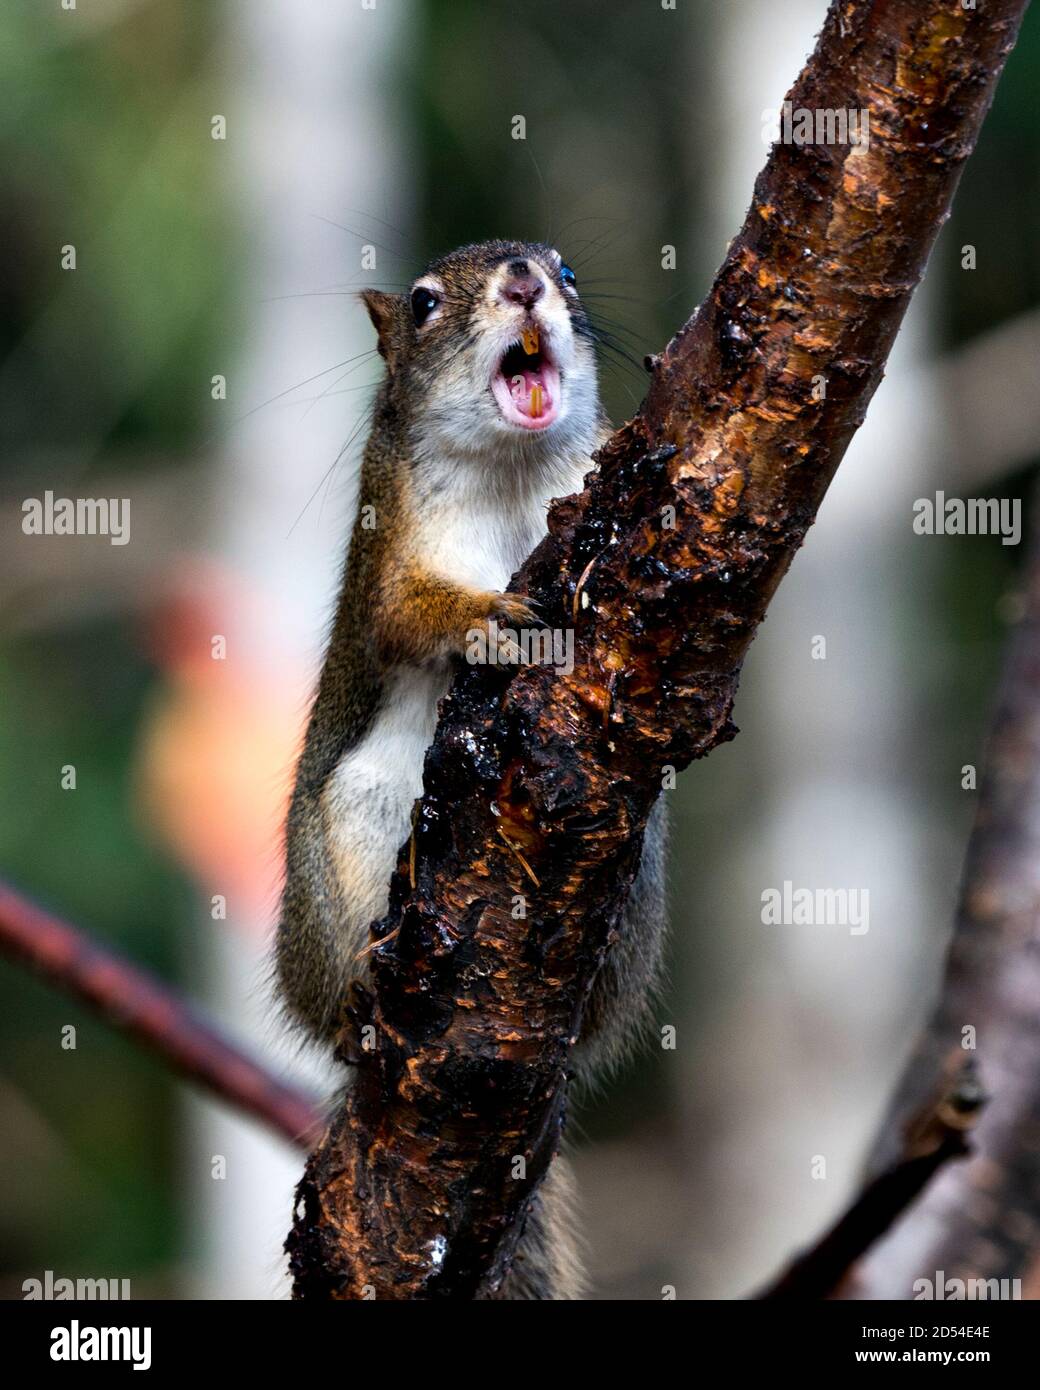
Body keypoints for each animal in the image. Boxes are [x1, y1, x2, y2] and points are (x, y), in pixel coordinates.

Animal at [276, 239, 668, 1300]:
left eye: (564, 269)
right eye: (421, 304)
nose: (527, 282)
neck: (511, 468)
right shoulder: (392, 539)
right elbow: (408, 613)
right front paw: (489, 617)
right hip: (348, 842)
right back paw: (363, 993)